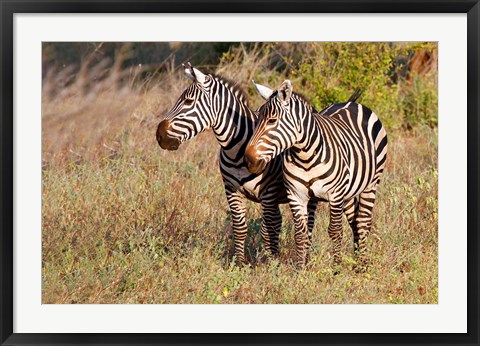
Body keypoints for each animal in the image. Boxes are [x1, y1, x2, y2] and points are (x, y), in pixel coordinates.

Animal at [156, 63, 320, 264]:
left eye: (188, 101)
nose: (159, 135)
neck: (236, 150)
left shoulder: (269, 193)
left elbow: (267, 230)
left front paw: (268, 263)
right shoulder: (231, 190)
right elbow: (240, 228)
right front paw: (240, 262)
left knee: (302, 224)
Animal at [246, 79, 388, 268]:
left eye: (272, 121)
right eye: (257, 120)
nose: (248, 159)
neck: (305, 157)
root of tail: (351, 102)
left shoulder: (335, 195)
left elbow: (335, 231)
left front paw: (337, 268)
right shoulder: (296, 195)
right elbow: (300, 234)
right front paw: (300, 269)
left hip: (371, 184)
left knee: (363, 222)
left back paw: (363, 265)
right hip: (347, 192)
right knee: (353, 221)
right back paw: (357, 260)